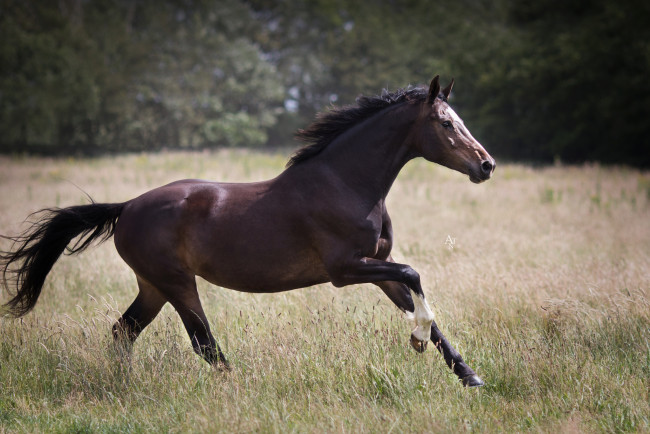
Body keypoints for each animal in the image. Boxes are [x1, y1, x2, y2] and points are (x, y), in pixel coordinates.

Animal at [2, 74, 494, 386]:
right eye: (446, 123)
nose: (486, 165)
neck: (345, 182)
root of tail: (126, 208)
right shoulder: (346, 269)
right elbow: (415, 276)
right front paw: (417, 342)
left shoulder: (377, 263)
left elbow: (421, 307)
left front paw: (469, 375)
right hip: (176, 283)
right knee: (202, 344)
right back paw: (236, 386)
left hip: (153, 286)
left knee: (124, 332)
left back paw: (123, 386)